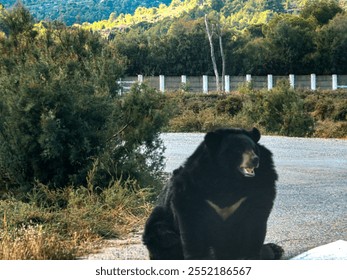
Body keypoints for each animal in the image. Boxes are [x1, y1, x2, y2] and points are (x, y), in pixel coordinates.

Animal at [143, 128, 284, 260]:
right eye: (238, 150)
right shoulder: (193, 188)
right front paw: (199, 256)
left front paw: (250, 255)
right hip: (160, 225)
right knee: (166, 238)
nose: (255, 160)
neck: (229, 178)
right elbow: (192, 225)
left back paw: (275, 249)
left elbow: (254, 222)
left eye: (253, 148)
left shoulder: (258, 190)